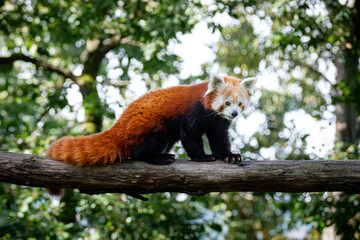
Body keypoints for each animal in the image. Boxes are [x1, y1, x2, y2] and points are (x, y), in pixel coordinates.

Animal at [46, 76, 258, 166]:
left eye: (240, 104)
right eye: (226, 102)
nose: (234, 113)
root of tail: (120, 124)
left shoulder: (218, 123)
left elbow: (219, 138)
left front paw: (229, 156)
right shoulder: (193, 112)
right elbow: (190, 136)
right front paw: (202, 157)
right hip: (149, 124)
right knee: (143, 147)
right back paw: (158, 157)